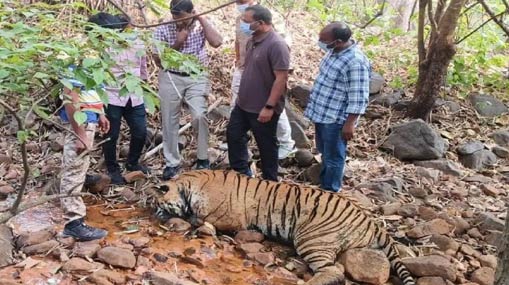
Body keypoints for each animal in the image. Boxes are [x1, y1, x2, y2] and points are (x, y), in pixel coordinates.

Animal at [156, 170, 416, 282]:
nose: (155, 214)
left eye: (157, 204)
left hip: (310, 239)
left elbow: (201, 219)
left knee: (334, 271)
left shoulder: (230, 218)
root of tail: (371, 220)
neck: (189, 184)